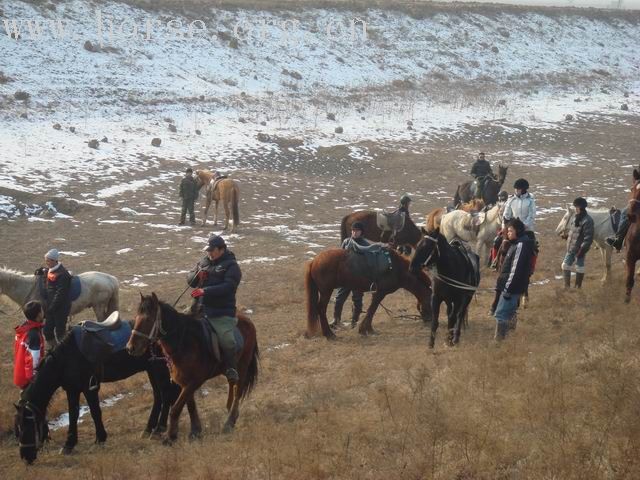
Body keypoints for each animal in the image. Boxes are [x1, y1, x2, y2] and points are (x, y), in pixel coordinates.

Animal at [15, 324, 180, 464]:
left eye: (27, 425)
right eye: (18, 428)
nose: (25, 457)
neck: (67, 357)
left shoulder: (89, 387)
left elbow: (95, 412)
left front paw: (100, 439)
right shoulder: (72, 389)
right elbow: (73, 414)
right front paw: (69, 444)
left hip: (159, 367)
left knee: (166, 394)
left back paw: (158, 429)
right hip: (151, 368)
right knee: (158, 396)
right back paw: (148, 429)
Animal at [126, 290, 258, 440]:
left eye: (148, 320)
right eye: (136, 318)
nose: (130, 348)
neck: (184, 342)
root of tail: (249, 322)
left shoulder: (195, 381)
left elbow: (176, 408)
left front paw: (170, 436)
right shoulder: (185, 382)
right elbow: (190, 406)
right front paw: (195, 431)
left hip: (243, 366)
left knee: (238, 390)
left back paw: (229, 422)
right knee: (232, 384)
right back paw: (230, 412)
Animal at [306, 248, 436, 338]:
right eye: (431, 303)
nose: (430, 321)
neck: (396, 269)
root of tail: (314, 261)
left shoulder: (377, 292)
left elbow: (371, 310)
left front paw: (367, 329)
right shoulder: (380, 292)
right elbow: (372, 309)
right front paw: (365, 329)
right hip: (326, 291)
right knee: (321, 309)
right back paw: (329, 334)